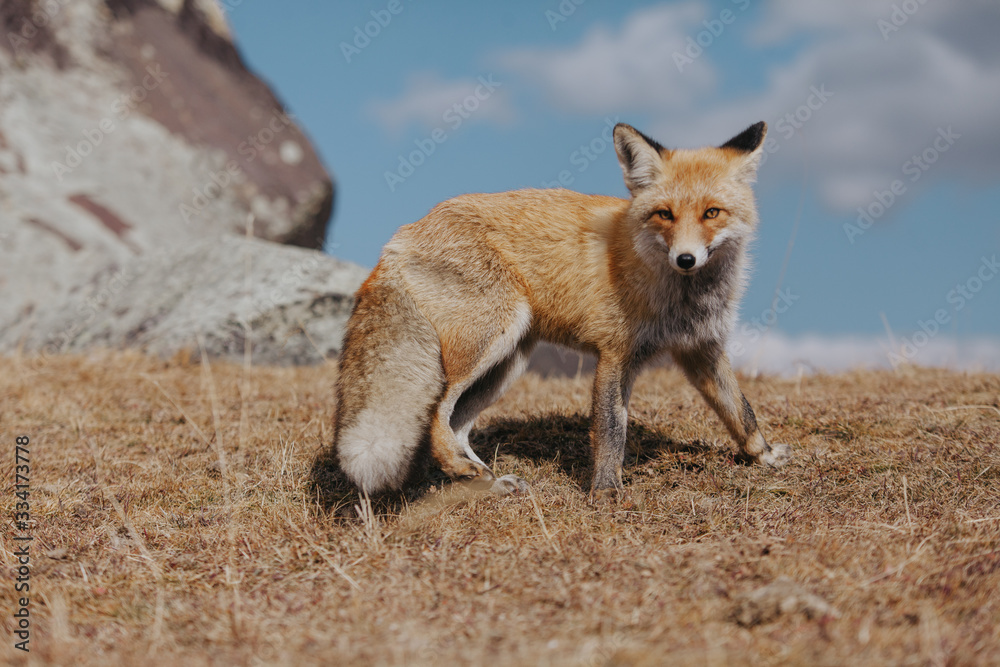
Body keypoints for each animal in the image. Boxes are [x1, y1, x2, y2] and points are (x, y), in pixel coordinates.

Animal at [334, 121, 788, 496]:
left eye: (712, 213)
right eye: (665, 214)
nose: (686, 259)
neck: (681, 294)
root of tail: (403, 233)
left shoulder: (701, 348)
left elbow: (740, 410)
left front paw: (763, 455)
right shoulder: (615, 353)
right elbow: (611, 431)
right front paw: (605, 493)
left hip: (508, 363)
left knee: (456, 424)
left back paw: (489, 481)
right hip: (489, 340)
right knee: (434, 415)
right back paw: (463, 470)